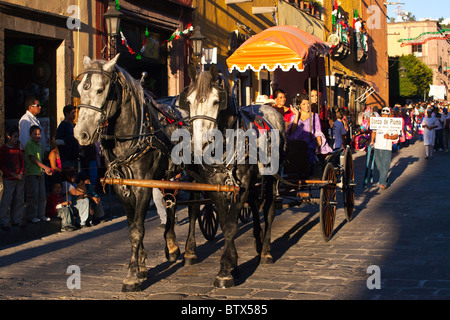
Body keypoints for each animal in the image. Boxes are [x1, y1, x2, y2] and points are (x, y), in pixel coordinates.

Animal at [73, 55, 185, 292]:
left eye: (100, 90)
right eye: (79, 89)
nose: (81, 134)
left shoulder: (143, 186)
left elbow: (137, 230)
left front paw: (132, 276)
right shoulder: (121, 186)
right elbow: (133, 225)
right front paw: (141, 266)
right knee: (169, 204)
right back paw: (171, 246)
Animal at [178, 65, 286, 288]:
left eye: (216, 101)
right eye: (189, 101)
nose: (198, 146)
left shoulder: (242, 186)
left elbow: (230, 226)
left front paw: (225, 271)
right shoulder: (216, 187)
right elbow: (224, 220)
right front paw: (233, 264)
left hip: (271, 178)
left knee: (269, 210)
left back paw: (266, 251)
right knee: (254, 205)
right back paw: (258, 241)